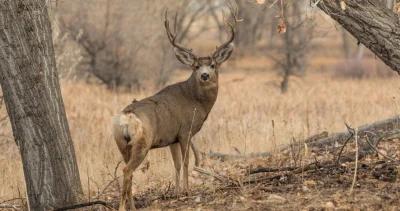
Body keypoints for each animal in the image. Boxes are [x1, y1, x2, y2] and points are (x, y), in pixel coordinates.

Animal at [111, 10, 234, 211]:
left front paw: (176, 193)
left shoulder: (171, 138)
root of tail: (126, 118)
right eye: (196, 66)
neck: (196, 101)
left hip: (122, 143)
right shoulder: (185, 131)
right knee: (127, 170)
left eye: (213, 65)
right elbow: (186, 162)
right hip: (142, 143)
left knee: (128, 171)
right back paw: (124, 206)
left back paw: (133, 206)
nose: (205, 75)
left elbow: (176, 164)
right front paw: (187, 191)